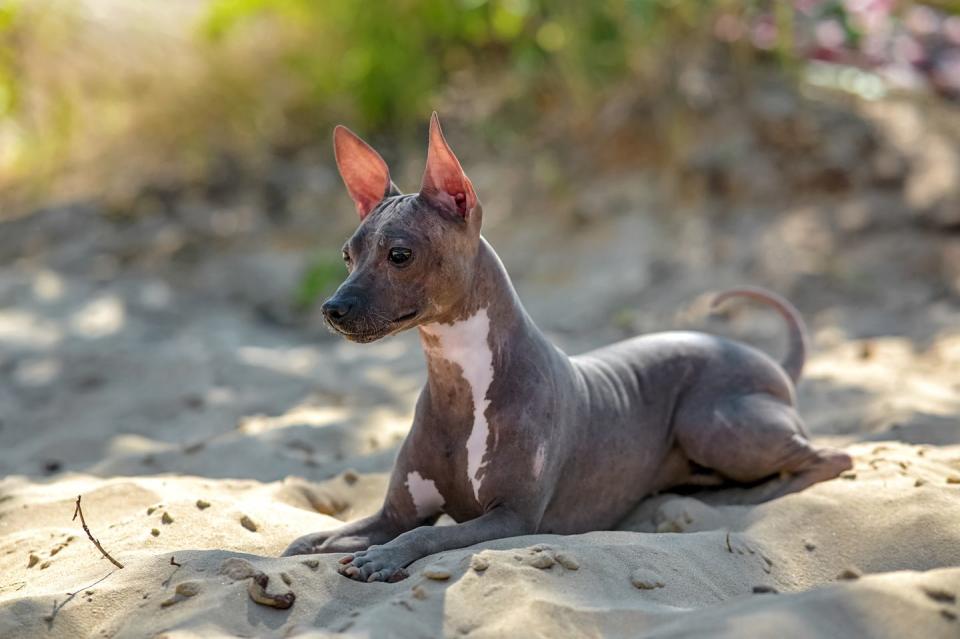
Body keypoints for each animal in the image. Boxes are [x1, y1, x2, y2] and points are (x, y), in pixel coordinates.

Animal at [282, 112, 852, 584]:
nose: (332, 308)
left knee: (830, 457)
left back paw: (753, 492)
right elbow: (323, 538)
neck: (460, 382)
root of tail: (769, 362)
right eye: (347, 254)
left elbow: (424, 533)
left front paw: (383, 557)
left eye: (399, 255)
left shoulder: (512, 516)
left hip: (712, 423)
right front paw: (315, 545)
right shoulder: (392, 512)